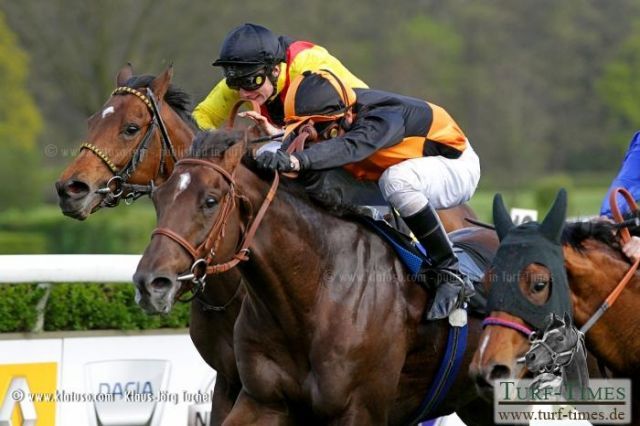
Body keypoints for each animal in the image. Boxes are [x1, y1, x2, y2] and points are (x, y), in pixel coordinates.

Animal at [132, 131, 498, 426]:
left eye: (210, 200)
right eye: (158, 197)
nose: (151, 283)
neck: (313, 296)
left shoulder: (359, 410)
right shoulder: (263, 399)